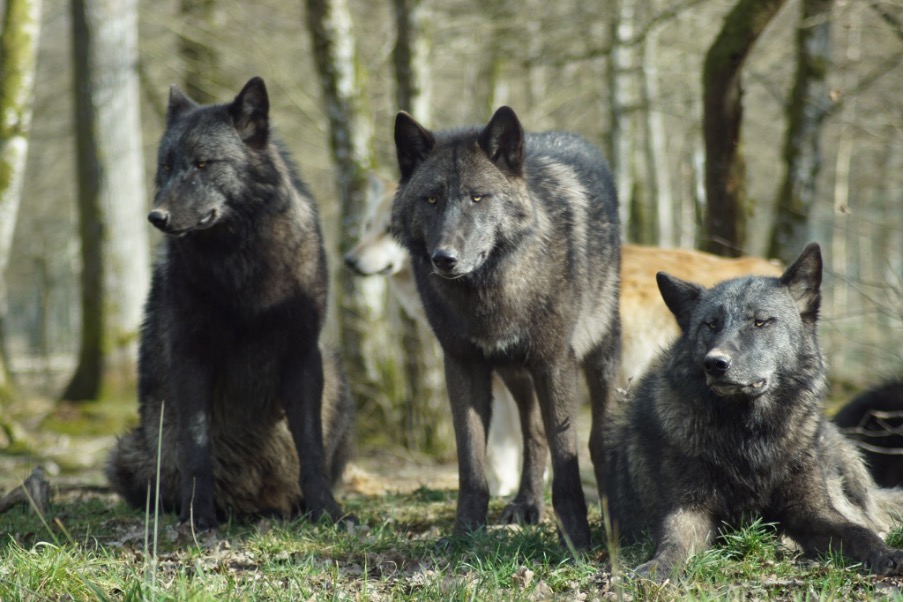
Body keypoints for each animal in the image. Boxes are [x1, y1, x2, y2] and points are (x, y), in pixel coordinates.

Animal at [107, 77, 354, 528]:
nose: (156, 217)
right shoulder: (191, 357)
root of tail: (254, 504)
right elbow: (197, 447)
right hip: (128, 453)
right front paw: (198, 516)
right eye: (166, 166)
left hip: (336, 375)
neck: (241, 262)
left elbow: (310, 447)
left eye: (204, 164)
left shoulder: (302, 355)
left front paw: (327, 511)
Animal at [394, 105, 620, 548]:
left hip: (598, 356)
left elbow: (567, 456)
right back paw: (526, 503)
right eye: (431, 199)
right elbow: (471, 462)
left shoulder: (555, 363)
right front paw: (464, 533)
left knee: (597, 437)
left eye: (477, 197)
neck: (490, 292)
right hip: (515, 373)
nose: (444, 258)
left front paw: (576, 538)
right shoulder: (462, 365)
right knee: (533, 434)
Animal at [604, 243, 900, 576]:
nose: (714, 363)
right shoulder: (689, 508)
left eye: (760, 322)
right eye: (711, 324)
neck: (748, 435)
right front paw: (657, 568)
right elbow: (673, 541)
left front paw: (886, 553)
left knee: (869, 517)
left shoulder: (811, 510)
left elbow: (857, 531)